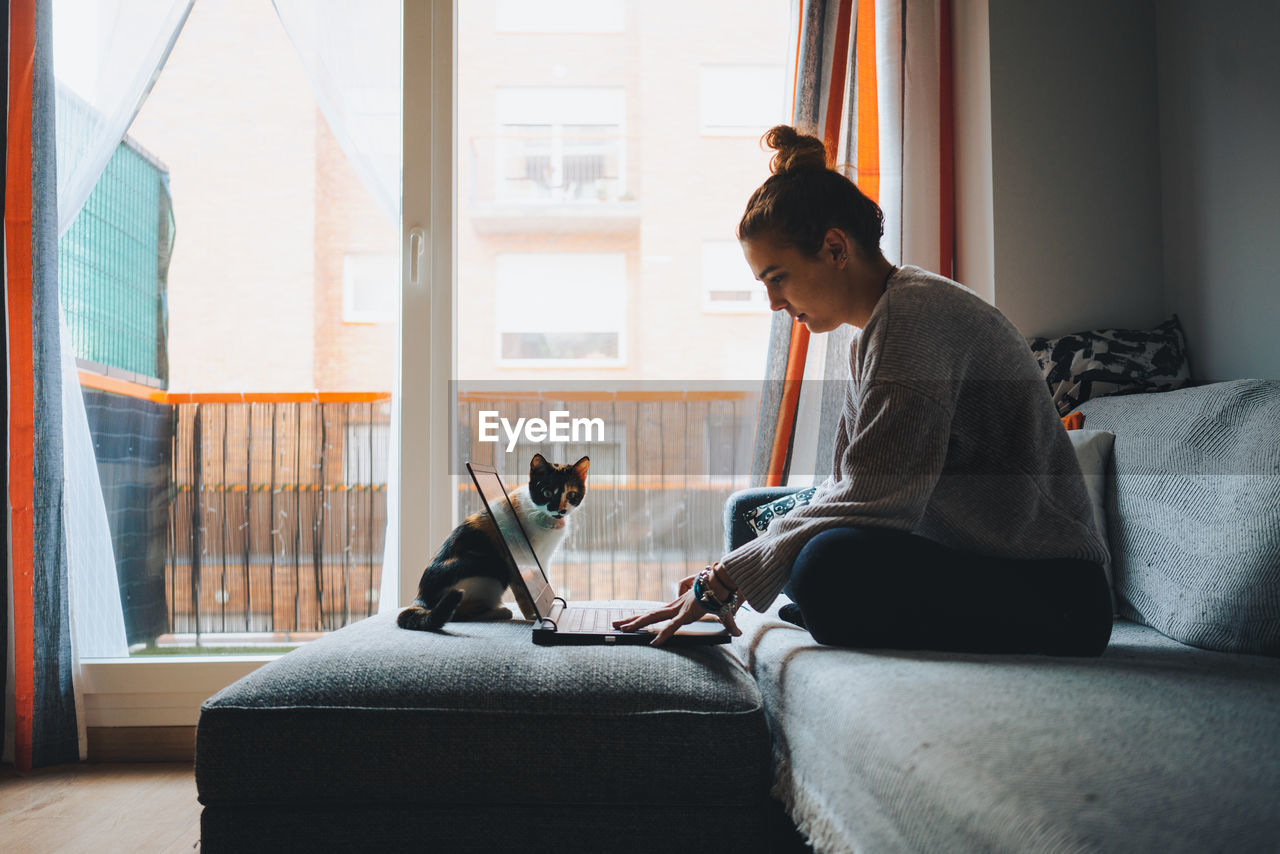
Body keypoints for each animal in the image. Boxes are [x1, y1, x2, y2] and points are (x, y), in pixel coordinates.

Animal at [394, 453, 588, 627]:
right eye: (546, 492)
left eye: (571, 495)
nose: (560, 510)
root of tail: (421, 597)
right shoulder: (515, 560)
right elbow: (523, 591)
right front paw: (535, 615)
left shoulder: (543, 559)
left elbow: (543, 580)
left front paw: (547, 607)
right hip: (492, 569)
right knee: (457, 613)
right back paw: (500, 611)